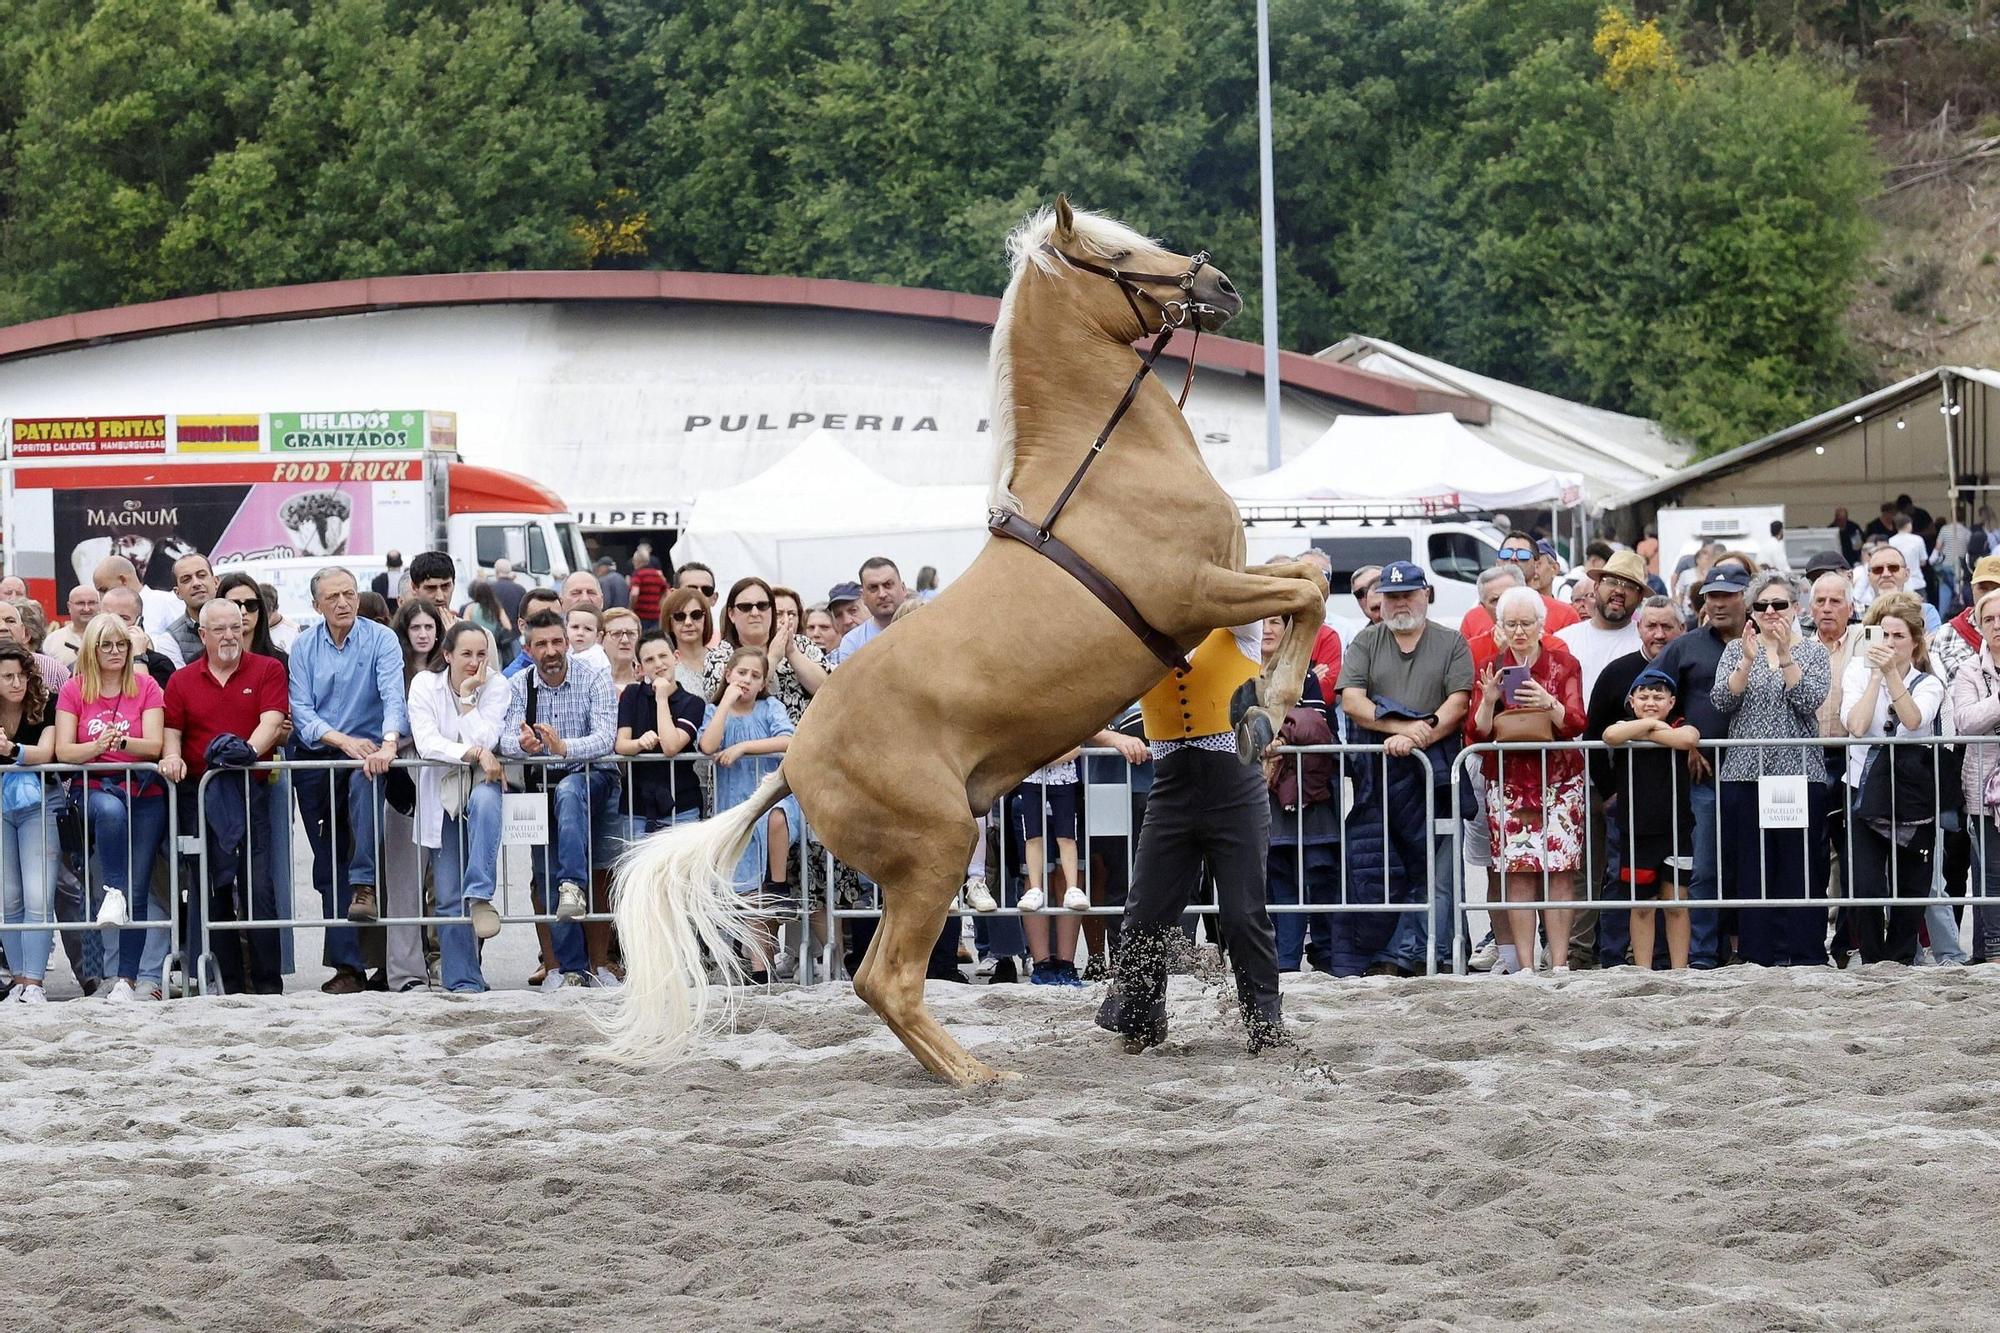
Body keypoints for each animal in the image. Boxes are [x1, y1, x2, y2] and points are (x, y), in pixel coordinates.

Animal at [608, 202, 1328, 1088]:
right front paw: (1268, 707)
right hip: (939, 850)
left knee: (875, 978)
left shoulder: (1226, 579)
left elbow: (1308, 571)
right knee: (888, 977)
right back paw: (979, 1076)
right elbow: (1309, 591)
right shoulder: (1197, 592)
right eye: (1119, 252)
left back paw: (960, 1067)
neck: (1107, 468)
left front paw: (1261, 703)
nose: (1220, 285)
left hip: (916, 867)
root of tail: (790, 763)